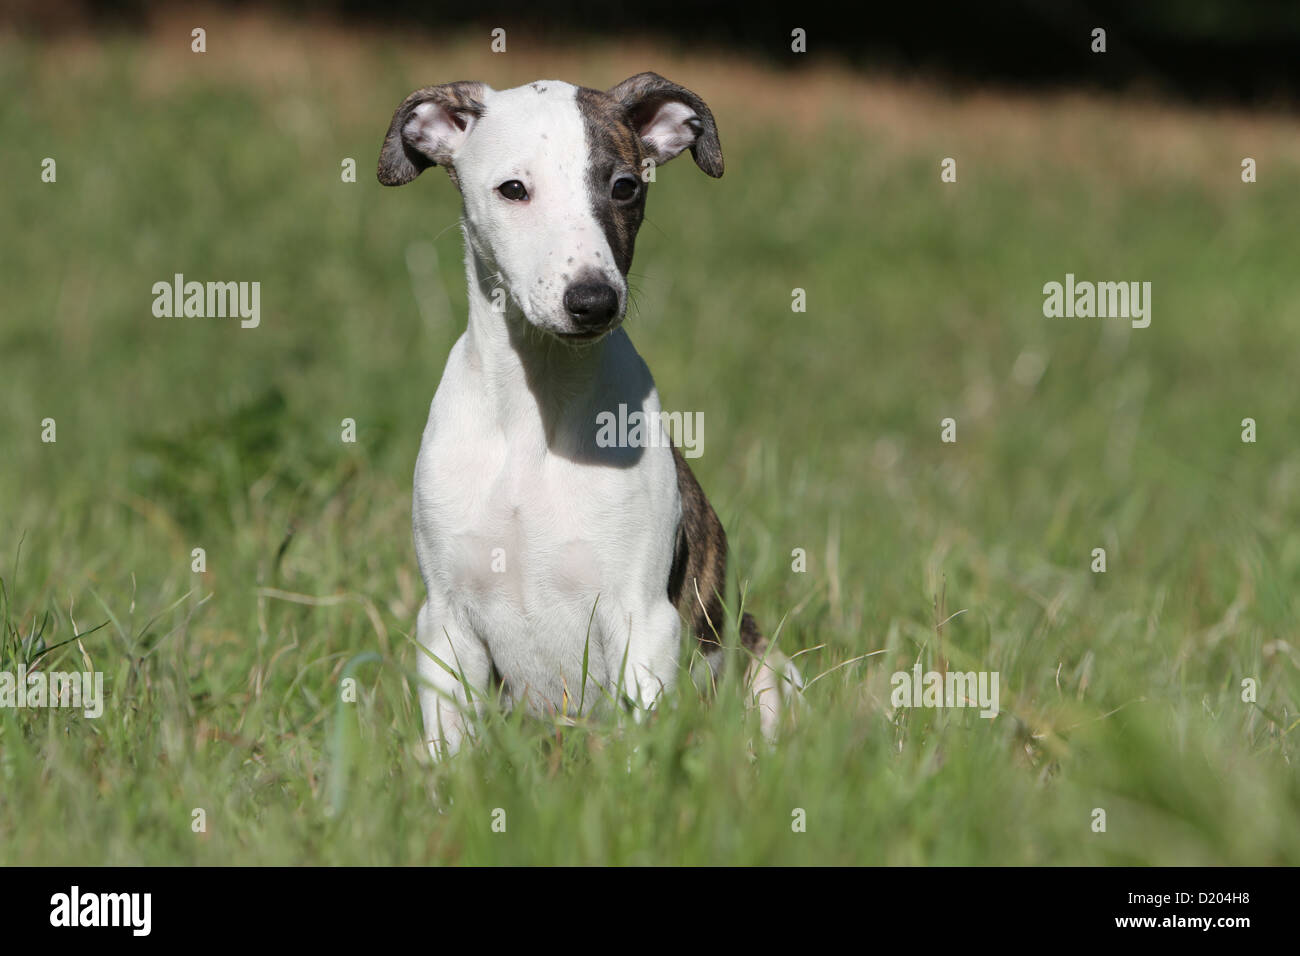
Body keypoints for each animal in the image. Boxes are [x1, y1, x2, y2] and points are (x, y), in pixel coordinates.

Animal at [377, 72, 800, 764]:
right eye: (513, 189)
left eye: (624, 186)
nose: (593, 301)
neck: (536, 410)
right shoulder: (446, 620)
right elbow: (451, 748)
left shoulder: (642, 617)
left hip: (767, 666)